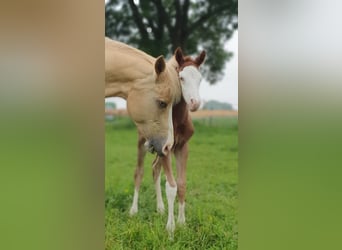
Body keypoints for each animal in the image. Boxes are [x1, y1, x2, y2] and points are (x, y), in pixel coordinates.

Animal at [129, 49, 206, 234]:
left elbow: (182, 184)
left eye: (200, 78)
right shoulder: (167, 149)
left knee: (155, 169)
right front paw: (170, 228)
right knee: (139, 172)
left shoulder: (181, 147)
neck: (177, 120)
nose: (195, 103)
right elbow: (171, 186)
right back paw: (133, 210)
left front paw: (182, 222)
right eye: (181, 77)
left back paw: (160, 207)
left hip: (158, 148)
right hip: (143, 143)